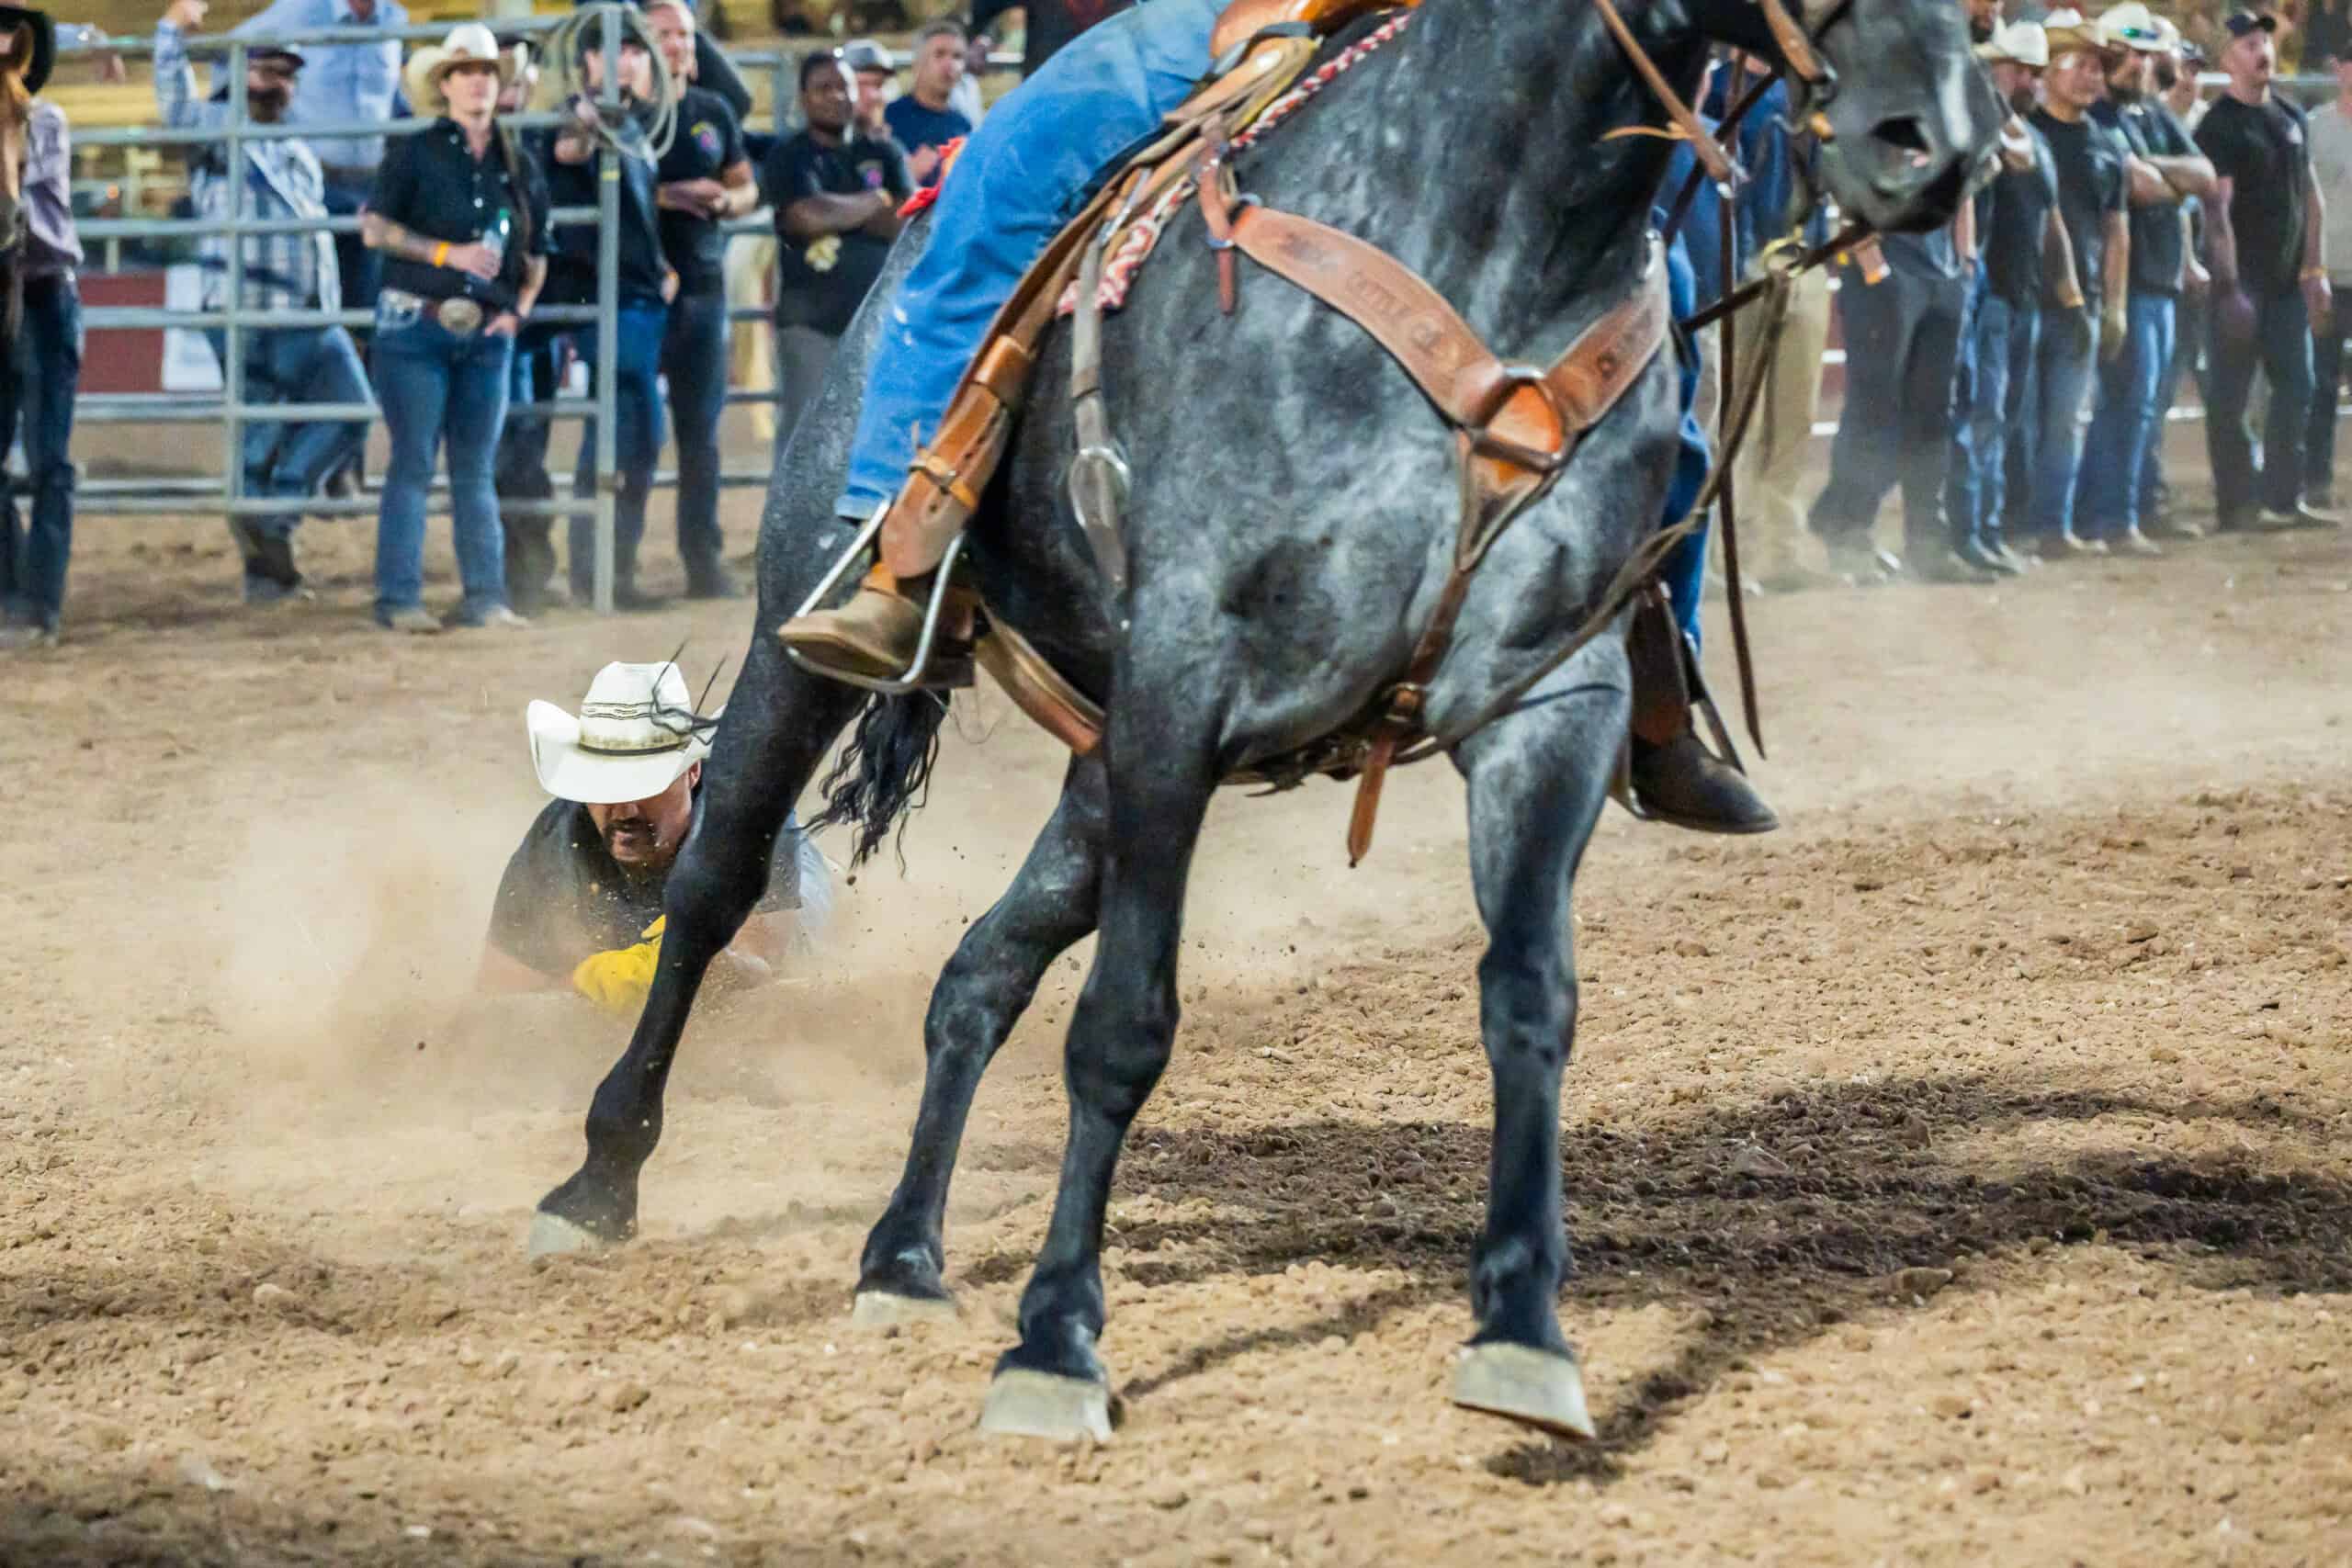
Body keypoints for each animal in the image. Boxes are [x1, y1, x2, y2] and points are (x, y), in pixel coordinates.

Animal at [529, 0, 2001, 1441]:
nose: (1930, 140)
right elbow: (1123, 1024)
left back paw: (902, 1254)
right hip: (825, 643)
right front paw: (1056, 1346)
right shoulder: (1187, 685)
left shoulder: (1548, 700)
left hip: (1102, 769)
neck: (1495, 235)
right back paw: (599, 1179)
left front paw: (1521, 1331)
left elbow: (1531, 993)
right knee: (715, 886)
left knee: (979, 970)